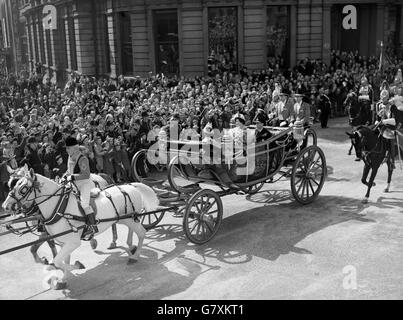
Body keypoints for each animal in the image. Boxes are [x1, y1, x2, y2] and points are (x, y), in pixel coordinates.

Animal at [3, 165, 161, 290]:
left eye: (23, 188)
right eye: (12, 185)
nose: (5, 206)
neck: (59, 208)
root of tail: (130, 185)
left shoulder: (73, 242)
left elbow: (58, 261)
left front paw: (76, 266)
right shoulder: (63, 242)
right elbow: (62, 260)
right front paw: (63, 279)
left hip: (130, 219)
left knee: (141, 232)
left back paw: (134, 255)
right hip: (125, 219)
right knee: (131, 229)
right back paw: (130, 246)